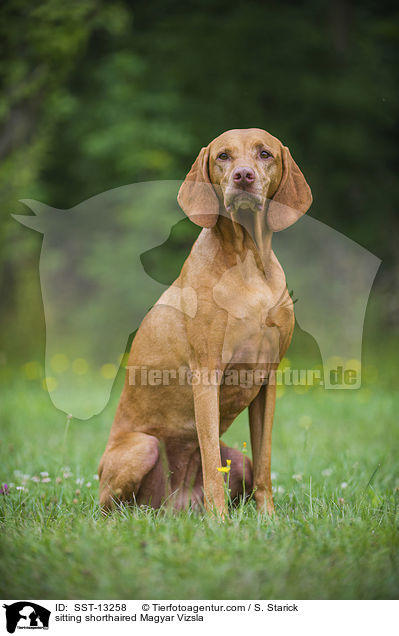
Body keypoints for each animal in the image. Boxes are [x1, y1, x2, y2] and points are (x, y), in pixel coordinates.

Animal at [97, 129, 312, 516]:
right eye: (223, 156)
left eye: (265, 154)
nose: (244, 176)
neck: (247, 261)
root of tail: (172, 506)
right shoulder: (207, 374)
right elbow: (211, 462)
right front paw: (220, 521)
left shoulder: (268, 381)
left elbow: (265, 462)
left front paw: (269, 519)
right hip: (141, 449)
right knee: (106, 509)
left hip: (238, 460)